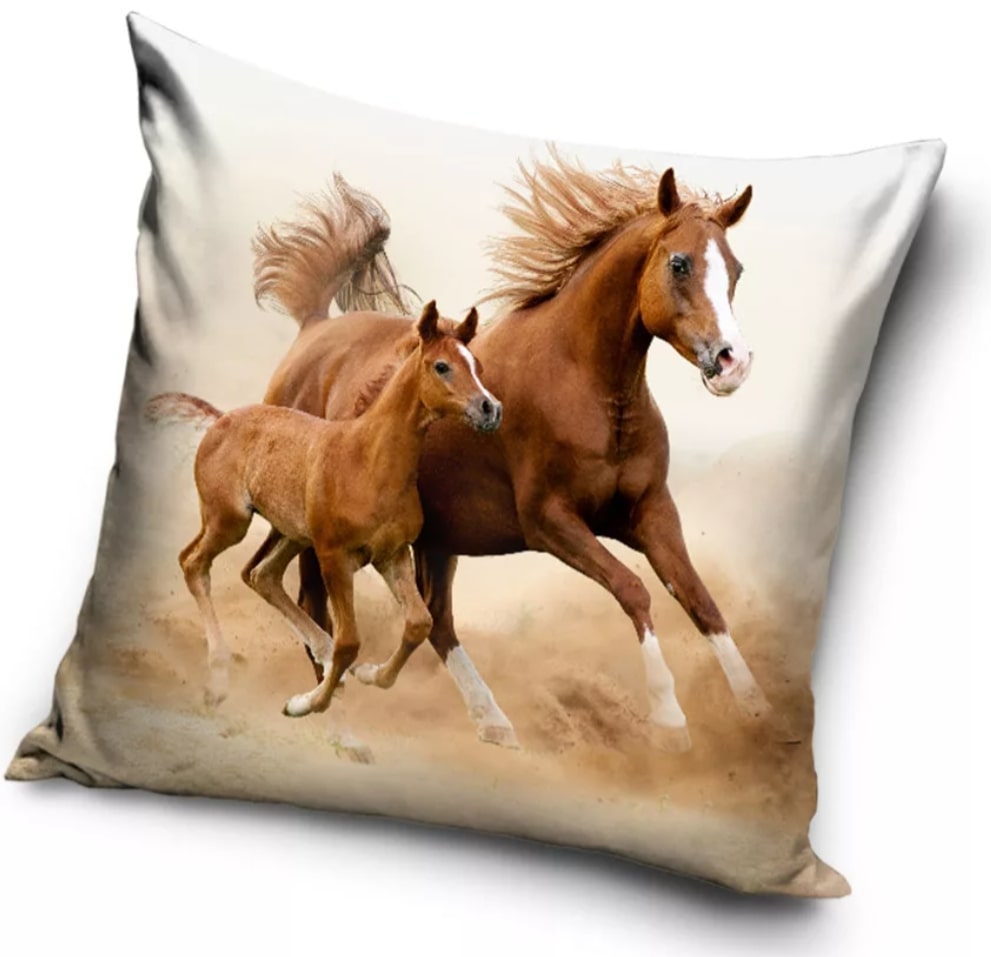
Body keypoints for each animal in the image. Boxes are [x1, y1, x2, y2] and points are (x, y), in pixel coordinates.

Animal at [146, 301, 501, 722]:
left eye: (477, 364)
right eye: (442, 366)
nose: (490, 408)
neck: (367, 461)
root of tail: (221, 419)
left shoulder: (391, 554)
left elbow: (418, 623)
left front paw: (368, 675)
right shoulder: (334, 556)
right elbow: (350, 640)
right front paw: (305, 703)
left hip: (292, 533)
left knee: (262, 575)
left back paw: (324, 658)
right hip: (230, 520)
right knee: (193, 562)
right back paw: (218, 679)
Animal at [253, 153, 769, 753]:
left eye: (736, 270)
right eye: (681, 264)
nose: (733, 362)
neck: (585, 385)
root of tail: (312, 331)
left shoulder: (650, 512)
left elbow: (699, 599)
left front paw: (759, 711)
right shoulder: (550, 522)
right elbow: (635, 590)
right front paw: (669, 720)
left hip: (436, 538)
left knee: (436, 619)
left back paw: (491, 720)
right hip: (319, 531)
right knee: (314, 607)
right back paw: (338, 724)